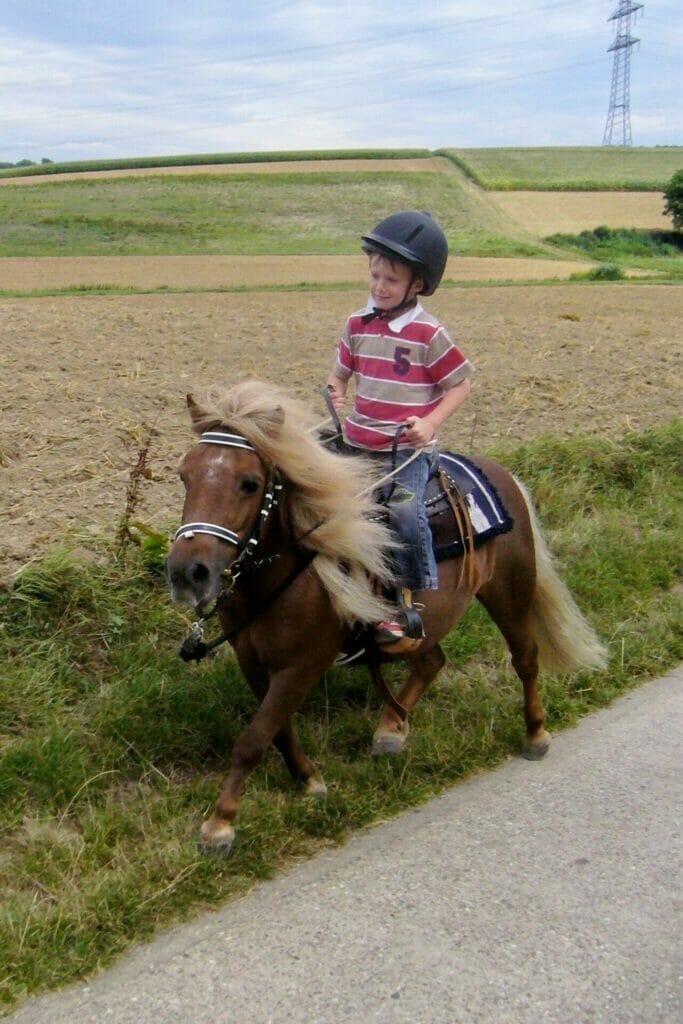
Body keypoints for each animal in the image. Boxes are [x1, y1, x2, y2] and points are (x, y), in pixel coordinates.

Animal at [166, 380, 607, 854]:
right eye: (185, 475)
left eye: (249, 483)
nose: (188, 572)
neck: (289, 568)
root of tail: (498, 472)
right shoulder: (251, 660)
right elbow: (277, 730)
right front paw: (308, 781)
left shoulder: (303, 664)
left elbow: (253, 738)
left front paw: (219, 823)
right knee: (432, 660)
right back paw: (392, 728)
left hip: (510, 591)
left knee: (525, 659)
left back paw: (535, 734)